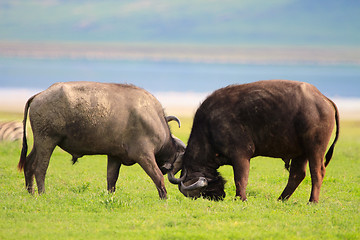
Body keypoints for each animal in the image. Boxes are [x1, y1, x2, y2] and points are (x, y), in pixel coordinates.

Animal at [17, 81, 186, 198]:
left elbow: (111, 180)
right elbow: (157, 177)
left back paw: (30, 193)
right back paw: (42, 194)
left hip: (39, 143)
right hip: (47, 141)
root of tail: (39, 95)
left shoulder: (114, 156)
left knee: (29, 164)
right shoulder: (144, 155)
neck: (153, 118)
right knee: (40, 168)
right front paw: (164, 198)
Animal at [168, 80, 338, 202]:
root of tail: (323, 98)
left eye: (202, 192)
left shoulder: (240, 155)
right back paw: (281, 199)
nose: (217, 198)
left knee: (317, 173)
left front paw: (240, 198)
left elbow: (240, 178)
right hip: (300, 153)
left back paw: (312, 201)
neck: (209, 128)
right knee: (297, 175)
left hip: (315, 149)